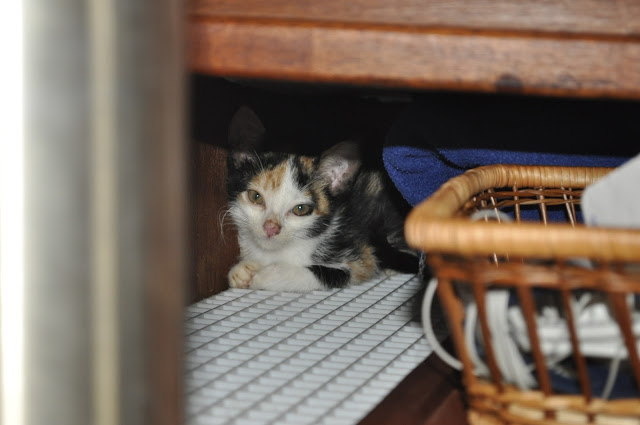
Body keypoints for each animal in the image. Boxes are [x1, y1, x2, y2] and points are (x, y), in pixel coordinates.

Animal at [225, 106, 416, 292]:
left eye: (300, 209)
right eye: (255, 197)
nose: (270, 228)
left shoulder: (362, 254)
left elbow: (324, 273)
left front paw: (267, 276)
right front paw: (243, 270)